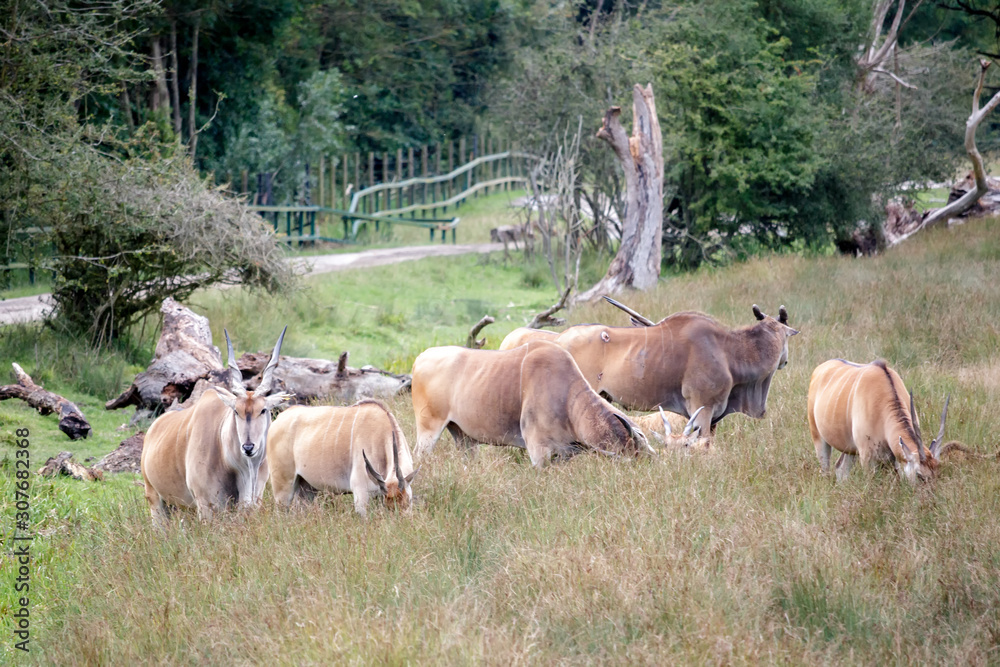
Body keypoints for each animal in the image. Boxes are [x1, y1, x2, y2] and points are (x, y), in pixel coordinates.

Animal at [140, 328, 290, 528]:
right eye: (236, 411)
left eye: (263, 410)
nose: (248, 447)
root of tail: (153, 429)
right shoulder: (206, 506)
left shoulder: (253, 502)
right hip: (154, 499)